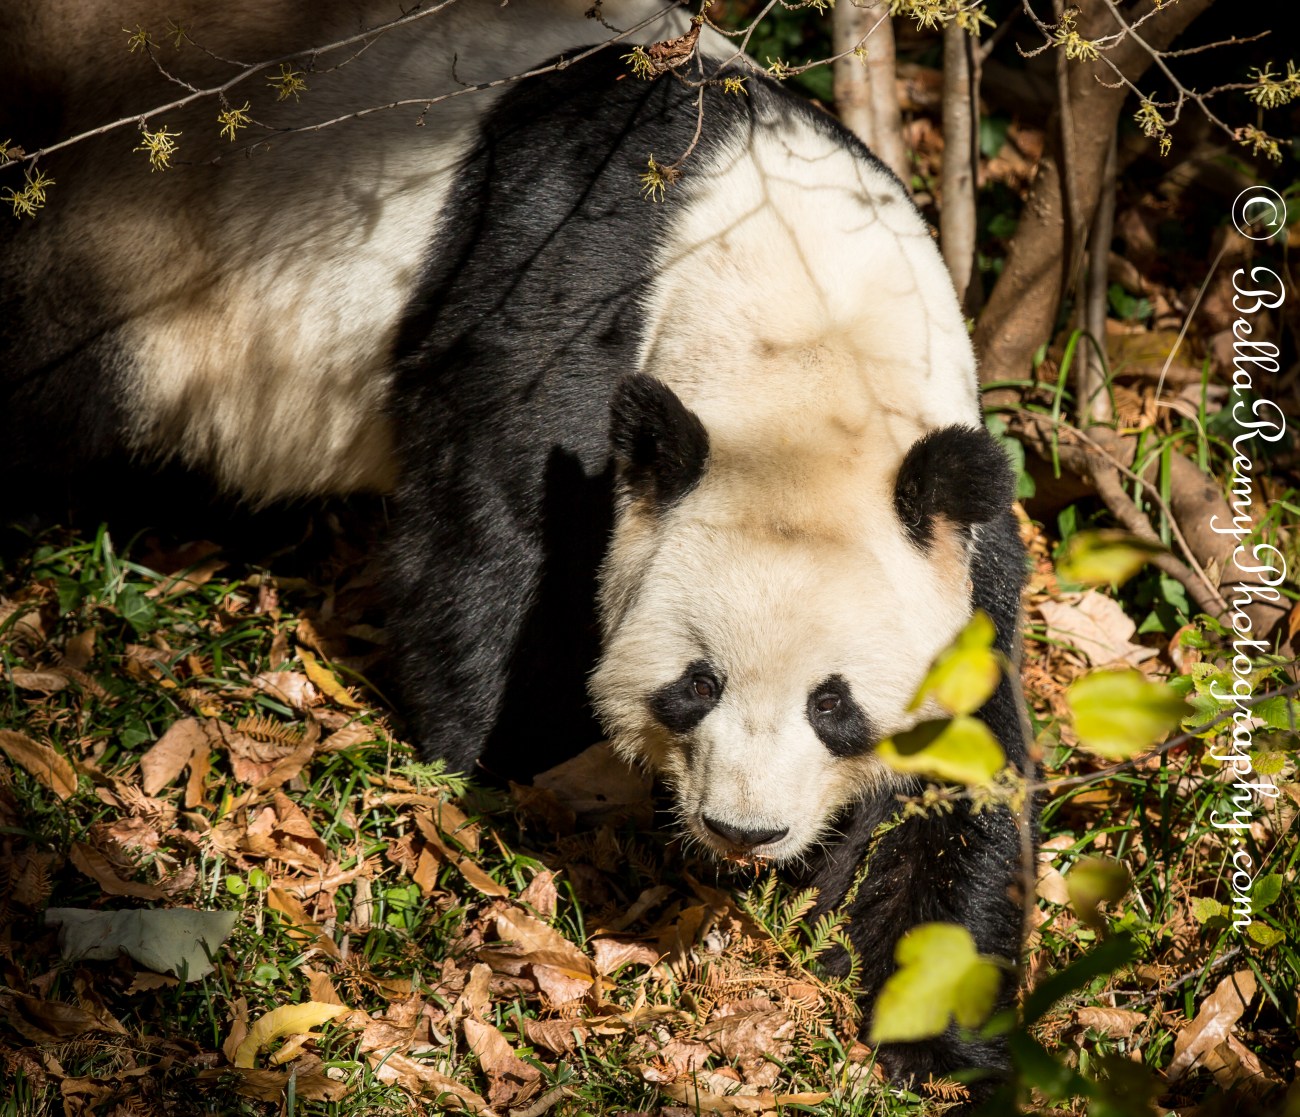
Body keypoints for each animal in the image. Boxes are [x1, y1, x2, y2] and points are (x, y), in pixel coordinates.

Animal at [1, 0, 1032, 1095]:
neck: (803, 334)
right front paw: (510, 759)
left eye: (833, 704)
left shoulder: (953, 528)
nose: (743, 831)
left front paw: (939, 1028)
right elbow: (496, 544)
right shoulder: (561, 306)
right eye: (695, 683)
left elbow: (965, 766)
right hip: (128, 236)